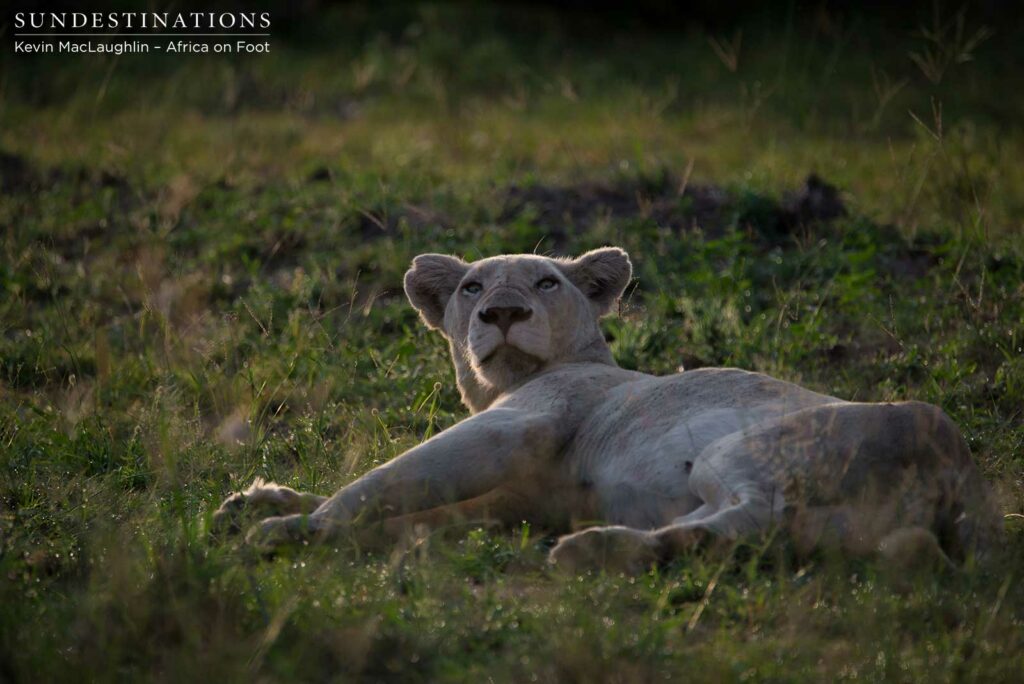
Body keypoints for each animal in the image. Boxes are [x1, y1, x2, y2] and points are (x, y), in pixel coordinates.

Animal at [213, 247, 1002, 573]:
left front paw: (290, 527)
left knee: (756, 517)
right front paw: (256, 502)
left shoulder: (517, 425)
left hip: (745, 450)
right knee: (744, 537)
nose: (503, 312)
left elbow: (379, 482)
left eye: (545, 281)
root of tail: (966, 481)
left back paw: (590, 550)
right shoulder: (509, 500)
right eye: (472, 287)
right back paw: (606, 546)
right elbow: (402, 505)